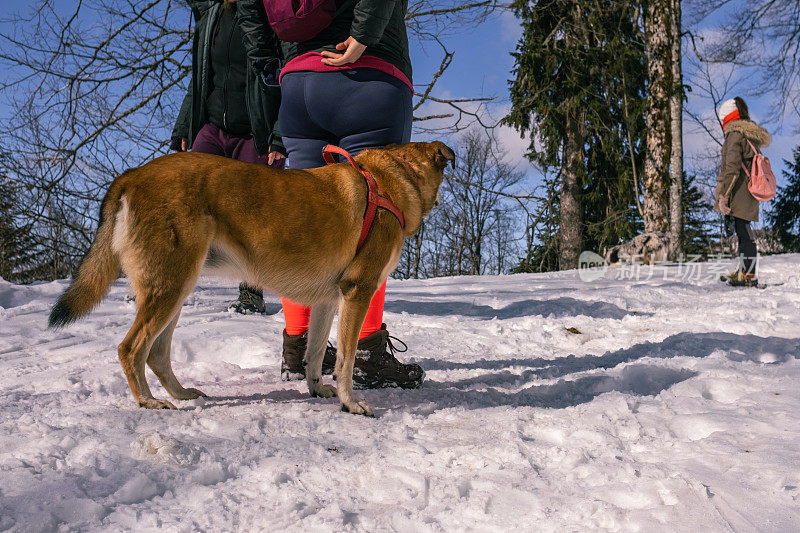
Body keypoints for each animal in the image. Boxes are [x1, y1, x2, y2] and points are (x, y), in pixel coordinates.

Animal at [50, 141, 454, 416]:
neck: (391, 179)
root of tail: (131, 175)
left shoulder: (327, 300)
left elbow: (315, 353)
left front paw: (316, 389)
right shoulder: (359, 290)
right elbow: (346, 361)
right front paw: (350, 403)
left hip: (175, 289)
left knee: (157, 354)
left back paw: (180, 394)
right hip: (170, 287)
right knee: (131, 348)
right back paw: (148, 401)